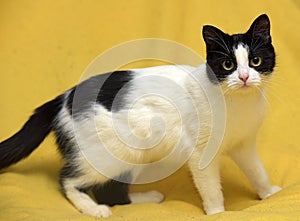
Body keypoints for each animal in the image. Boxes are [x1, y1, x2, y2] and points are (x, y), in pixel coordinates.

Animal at [0, 14, 282, 218]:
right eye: (228, 65)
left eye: (255, 61)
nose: (244, 77)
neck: (239, 103)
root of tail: (65, 96)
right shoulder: (201, 153)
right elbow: (211, 188)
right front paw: (217, 212)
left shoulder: (244, 145)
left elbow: (256, 171)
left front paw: (268, 193)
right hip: (110, 154)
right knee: (69, 180)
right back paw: (93, 209)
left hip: (131, 156)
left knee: (112, 192)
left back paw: (146, 198)